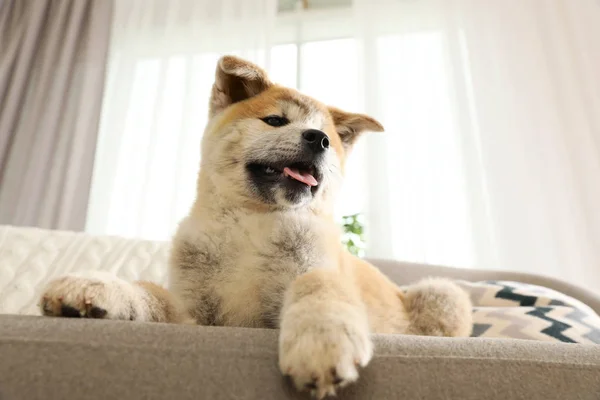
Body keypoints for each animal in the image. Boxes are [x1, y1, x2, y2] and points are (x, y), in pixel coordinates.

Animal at [42, 54, 474, 398]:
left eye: (328, 139)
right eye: (275, 120)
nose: (318, 139)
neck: (251, 223)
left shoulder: (310, 271)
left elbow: (315, 284)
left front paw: (322, 338)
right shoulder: (194, 314)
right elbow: (149, 292)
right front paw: (95, 287)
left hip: (442, 293)